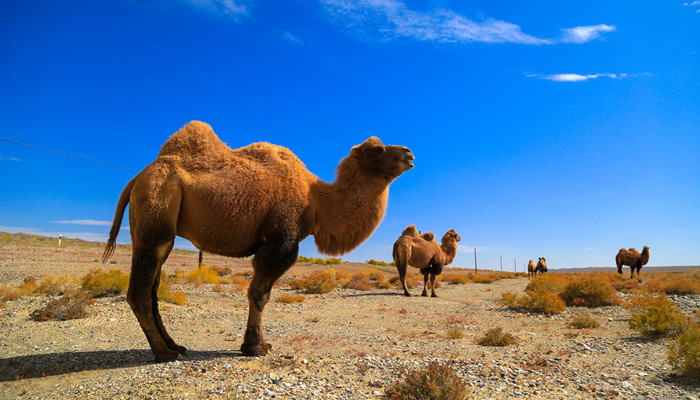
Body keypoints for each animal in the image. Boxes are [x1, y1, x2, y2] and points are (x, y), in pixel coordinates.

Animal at [101, 120, 412, 360]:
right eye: (378, 149)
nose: (409, 152)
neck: (315, 200)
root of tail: (138, 178)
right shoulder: (281, 239)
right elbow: (259, 294)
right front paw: (254, 346)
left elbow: (262, 294)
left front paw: (258, 343)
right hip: (156, 211)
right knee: (140, 291)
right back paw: (163, 353)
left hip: (161, 226)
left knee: (153, 290)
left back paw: (175, 345)